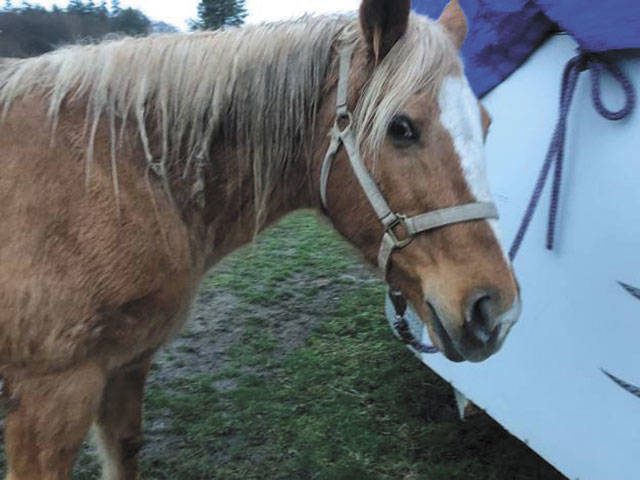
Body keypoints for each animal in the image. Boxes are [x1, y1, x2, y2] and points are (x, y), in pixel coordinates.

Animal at [0, 0, 520, 478]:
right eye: (401, 127)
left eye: (487, 123)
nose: (496, 310)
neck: (113, 171)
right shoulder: (53, 393)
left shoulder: (128, 363)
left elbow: (126, 449)